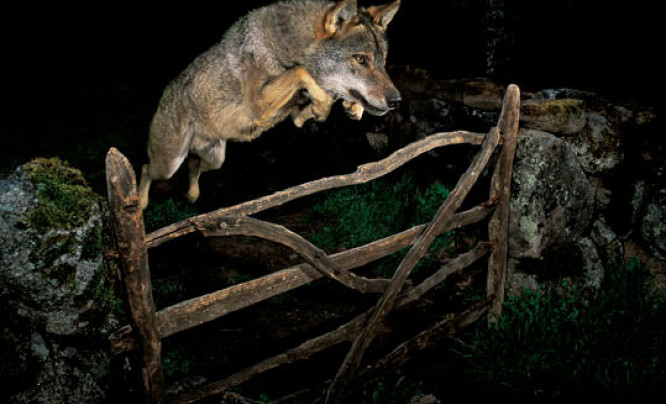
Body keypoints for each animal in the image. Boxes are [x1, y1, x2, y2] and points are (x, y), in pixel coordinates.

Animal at [137, 0, 402, 208]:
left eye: (382, 61)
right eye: (361, 59)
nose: (396, 101)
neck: (286, 46)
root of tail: (165, 94)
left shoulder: (293, 114)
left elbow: (312, 99)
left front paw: (350, 107)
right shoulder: (260, 104)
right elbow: (301, 71)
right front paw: (325, 105)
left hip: (216, 159)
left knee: (193, 166)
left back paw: (192, 195)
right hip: (168, 164)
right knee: (145, 168)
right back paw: (139, 204)